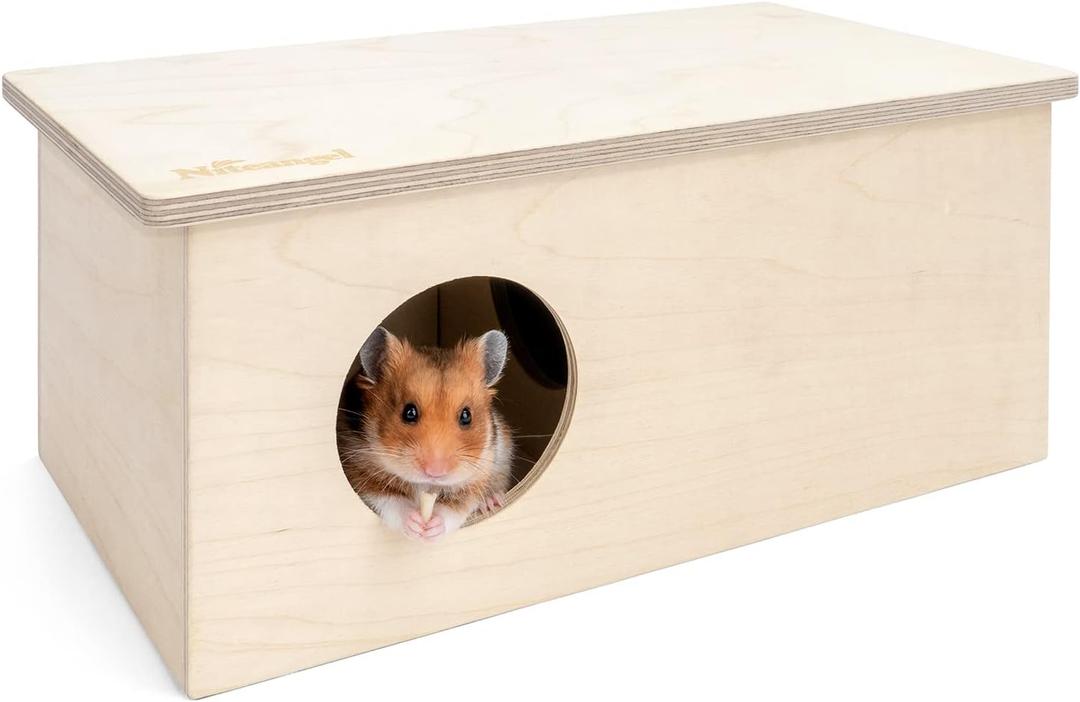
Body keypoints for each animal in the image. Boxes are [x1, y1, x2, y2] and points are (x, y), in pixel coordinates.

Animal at [339, 326, 514, 542]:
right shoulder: (357, 468)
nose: (435, 472)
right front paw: (415, 524)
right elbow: (390, 500)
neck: (424, 486)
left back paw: (492, 501)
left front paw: (431, 529)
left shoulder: (478, 475)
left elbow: (456, 509)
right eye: (409, 412)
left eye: (466, 416)